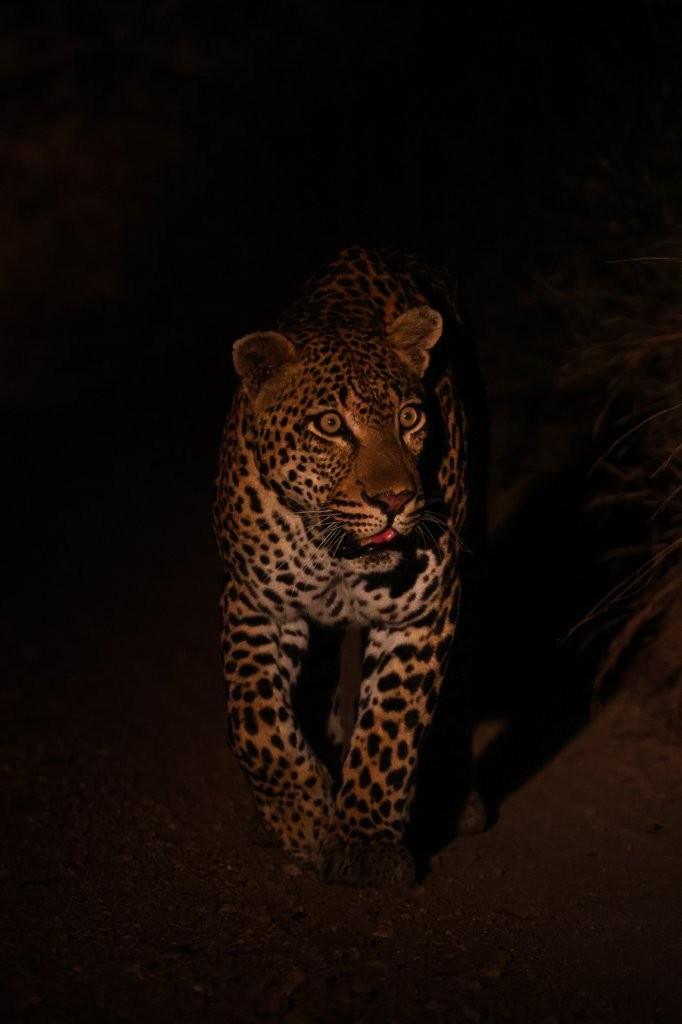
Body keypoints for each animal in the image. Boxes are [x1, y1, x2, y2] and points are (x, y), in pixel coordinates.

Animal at [213, 246, 488, 888]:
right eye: (330, 426)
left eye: (410, 418)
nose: (396, 499)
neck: (334, 554)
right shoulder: (255, 604)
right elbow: (254, 720)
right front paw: (304, 817)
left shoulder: (423, 611)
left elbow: (390, 727)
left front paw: (364, 843)